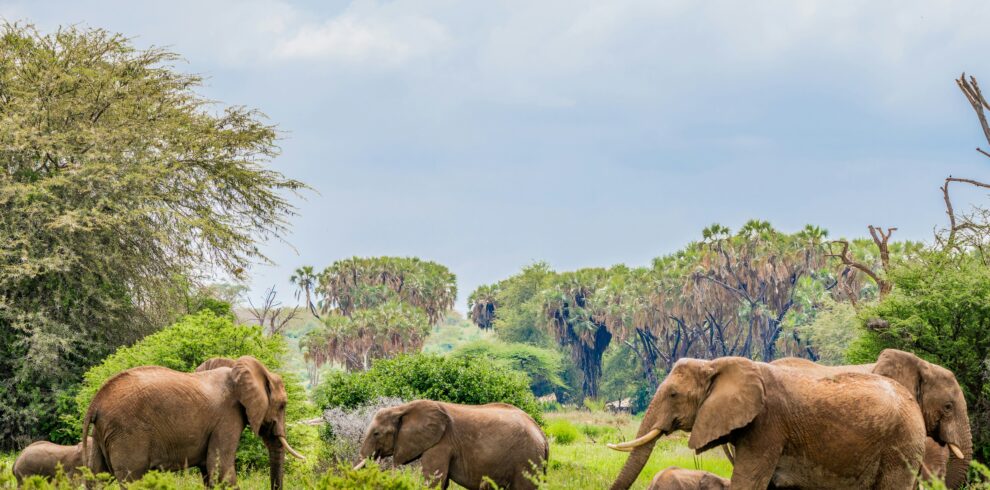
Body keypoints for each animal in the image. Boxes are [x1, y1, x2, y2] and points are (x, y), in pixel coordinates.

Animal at [81, 355, 304, 489]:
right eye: (283, 405)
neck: (236, 368)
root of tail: (95, 402)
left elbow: (209, 471)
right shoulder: (227, 417)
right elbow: (221, 470)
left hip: (103, 434)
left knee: (97, 478)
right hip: (128, 432)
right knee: (132, 480)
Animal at [355, 399, 548, 489]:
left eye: (376, 433)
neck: (402, 408)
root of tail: (542, 435)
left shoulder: (441, 443)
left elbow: (434, 481)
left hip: (526, 459)